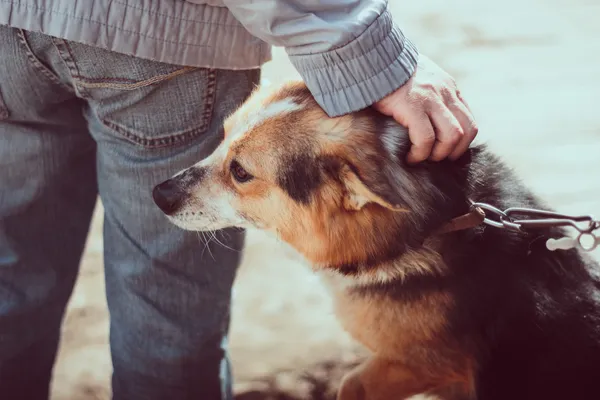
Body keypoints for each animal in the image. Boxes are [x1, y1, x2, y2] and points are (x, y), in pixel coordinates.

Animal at [152, 82, 600, 400]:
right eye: (222, 136)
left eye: (241, 172)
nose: (158, 194)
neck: (433, 224)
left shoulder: (427, 363)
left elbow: (351, 383)